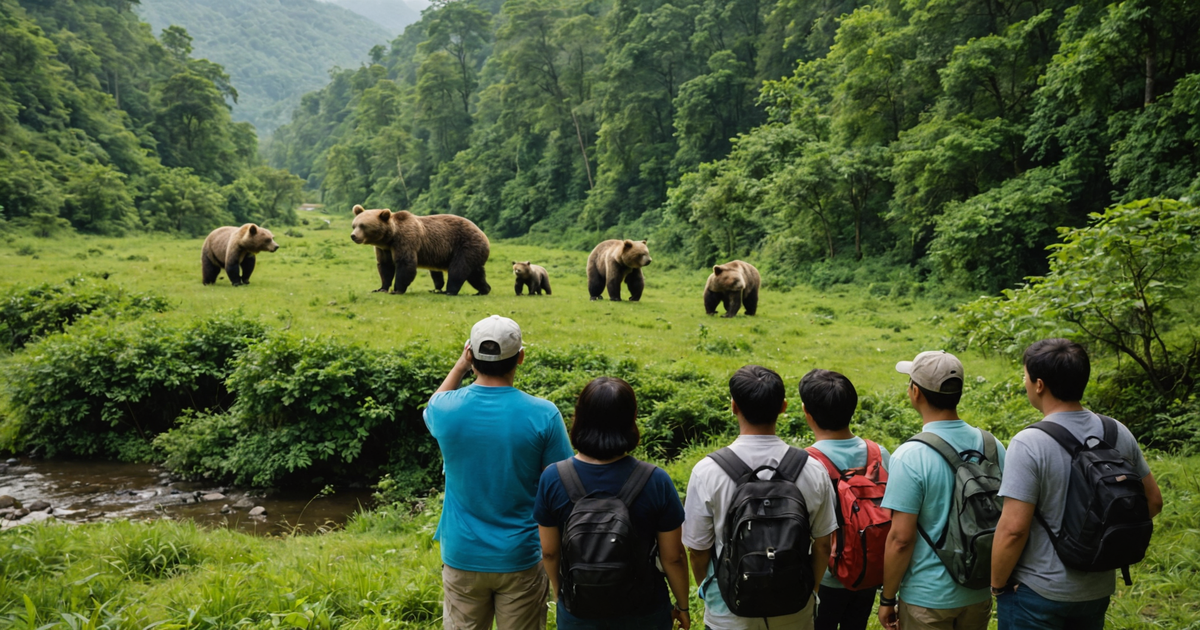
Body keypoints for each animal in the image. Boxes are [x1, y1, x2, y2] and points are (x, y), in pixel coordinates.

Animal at [350, 204, 491, 296]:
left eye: (363, 226)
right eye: (354, 225)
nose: (353, 236)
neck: (390, 238)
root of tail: (484, 235)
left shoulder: (406, 240)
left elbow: (405, 263)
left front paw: (397, 290)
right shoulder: (384, 249)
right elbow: (385, 266)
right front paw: (381, 288)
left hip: (465, 245)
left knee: (458, 269)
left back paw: (449, 291)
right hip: (474, 252)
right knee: (475, 273)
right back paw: (483, 290)